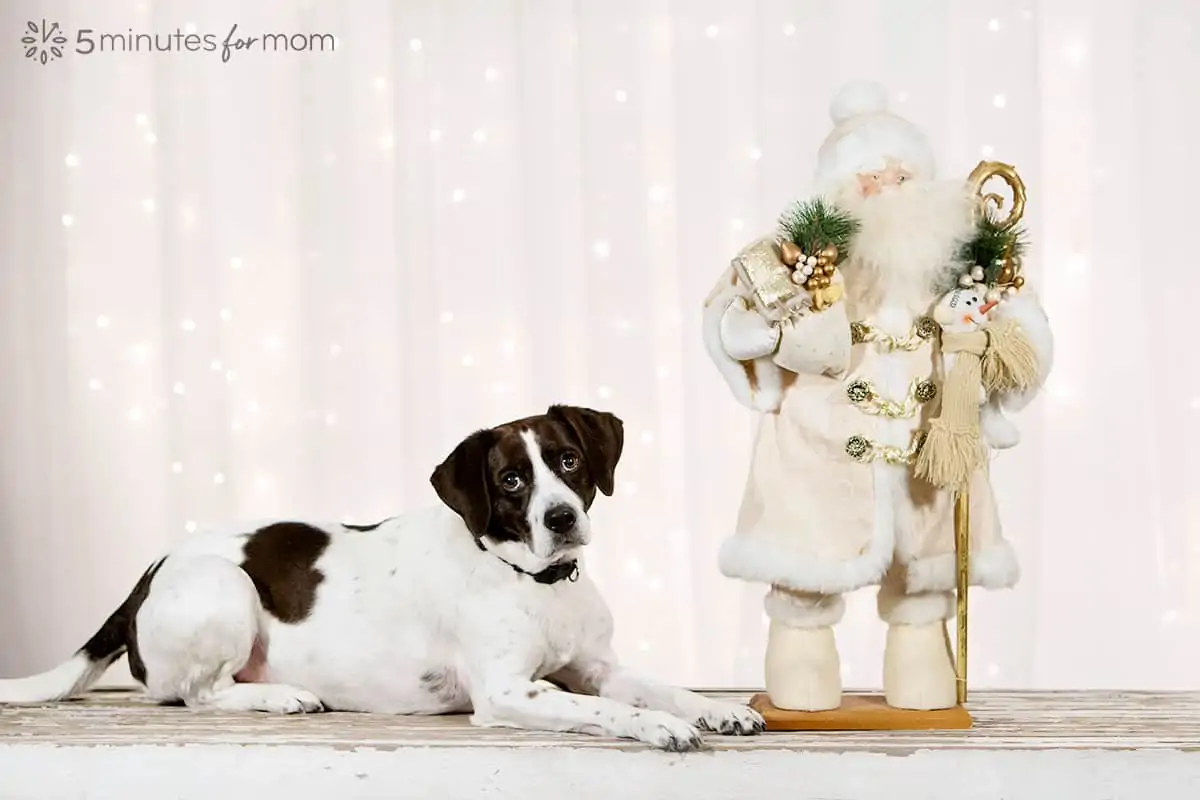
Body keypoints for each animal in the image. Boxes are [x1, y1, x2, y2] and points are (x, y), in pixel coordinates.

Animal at [0, 407, 763, 753]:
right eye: (511, 481)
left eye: (569, 461)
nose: (562, 517)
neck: (535, 581)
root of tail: (150, 570)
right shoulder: (509, 692)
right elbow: (607, 711)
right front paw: (659, 726)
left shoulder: (598, 667)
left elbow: (659, 685)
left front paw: (713, 708)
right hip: (225, 588)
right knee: (196, 695)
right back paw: (280, 697)